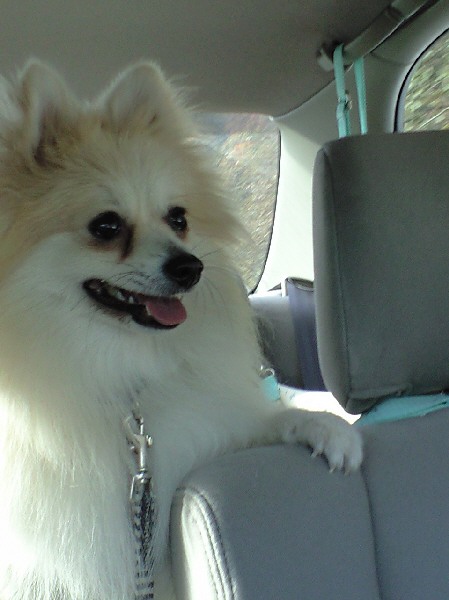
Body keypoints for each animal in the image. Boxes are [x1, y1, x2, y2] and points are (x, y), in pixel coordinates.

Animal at [0, 60, 362, 599]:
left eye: (178, 218)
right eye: (106, 227)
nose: (190, 267)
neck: (114, 366)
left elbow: (261, 421)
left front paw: (323, 426)